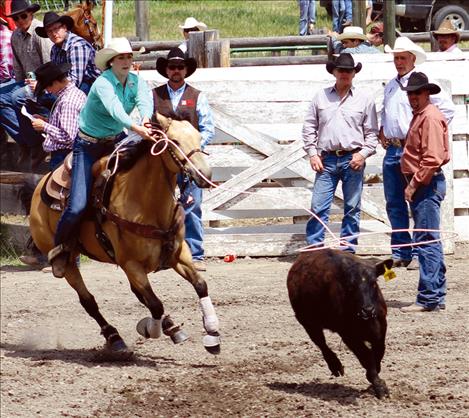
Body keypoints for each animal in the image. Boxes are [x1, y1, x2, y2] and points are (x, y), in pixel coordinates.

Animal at [26, 114, 220, 360]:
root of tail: (40, 186)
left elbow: (200, 285)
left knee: (138, 294)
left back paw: (171, 326)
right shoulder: (131, 264)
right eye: (174, 141)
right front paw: (150, 329)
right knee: (88, 300)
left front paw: (212, 334)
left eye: (198, 137)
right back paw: (114, 337)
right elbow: (155, 304)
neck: (147, 204)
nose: (205, 175)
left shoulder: (179, 254)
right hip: (70, 262)